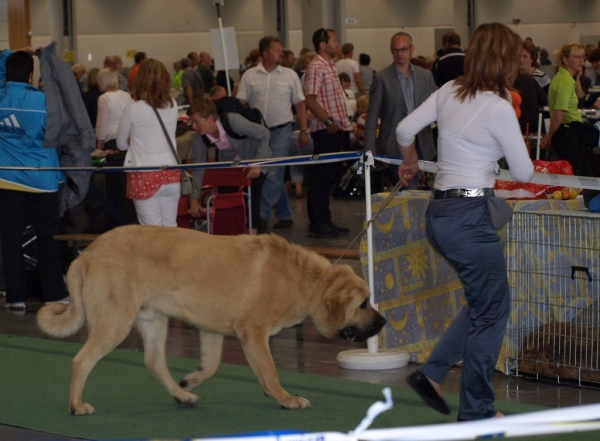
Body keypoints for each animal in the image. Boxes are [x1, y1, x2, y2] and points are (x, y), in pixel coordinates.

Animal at [37, 225, 386, 414]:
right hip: (116, 321)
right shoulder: (253, 332)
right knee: (81, 361)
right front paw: (286, 399)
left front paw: (190, 380)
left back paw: (182, 395)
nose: (383, 323)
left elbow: (213, 365)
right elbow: (270, 372)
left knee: (154, 362)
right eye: (363, 304)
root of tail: (86, 254)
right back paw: (76, 405)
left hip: (154, 320)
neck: (308, 281)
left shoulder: (212, 330)